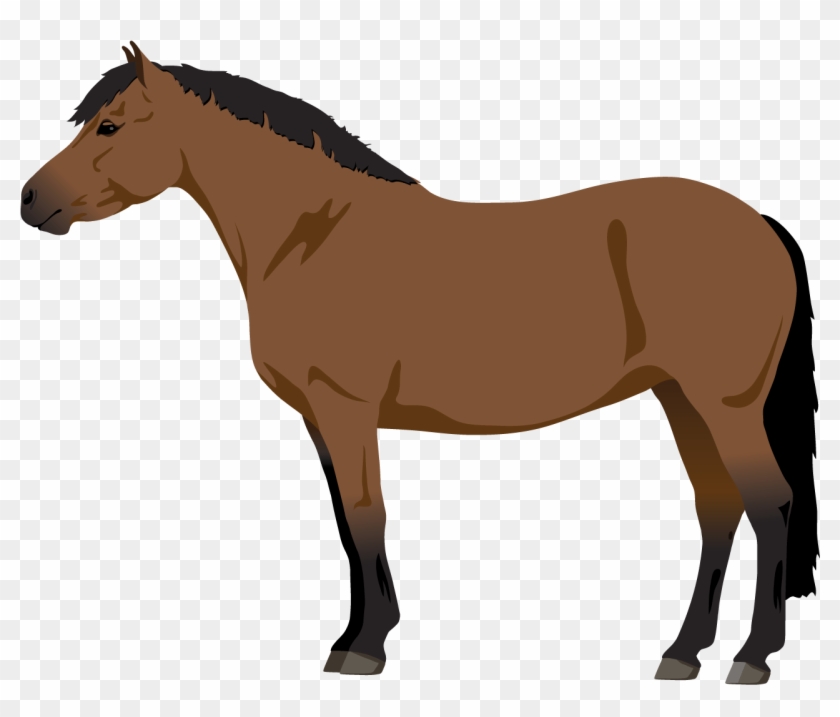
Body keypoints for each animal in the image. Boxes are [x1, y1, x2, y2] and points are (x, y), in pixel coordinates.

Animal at [20, 42, 818, 683]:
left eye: (110, 126)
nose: (31, 200)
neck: (314, 235)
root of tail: (759, 224)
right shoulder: (321, 419)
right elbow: (347, 521)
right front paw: (357, 634)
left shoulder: (346, 408)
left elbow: (366, 514)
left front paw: (364, 647)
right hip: (678, 398)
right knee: (717, 508)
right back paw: (682, 653)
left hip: (722, 403)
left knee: (769, 503)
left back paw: (752, 657)